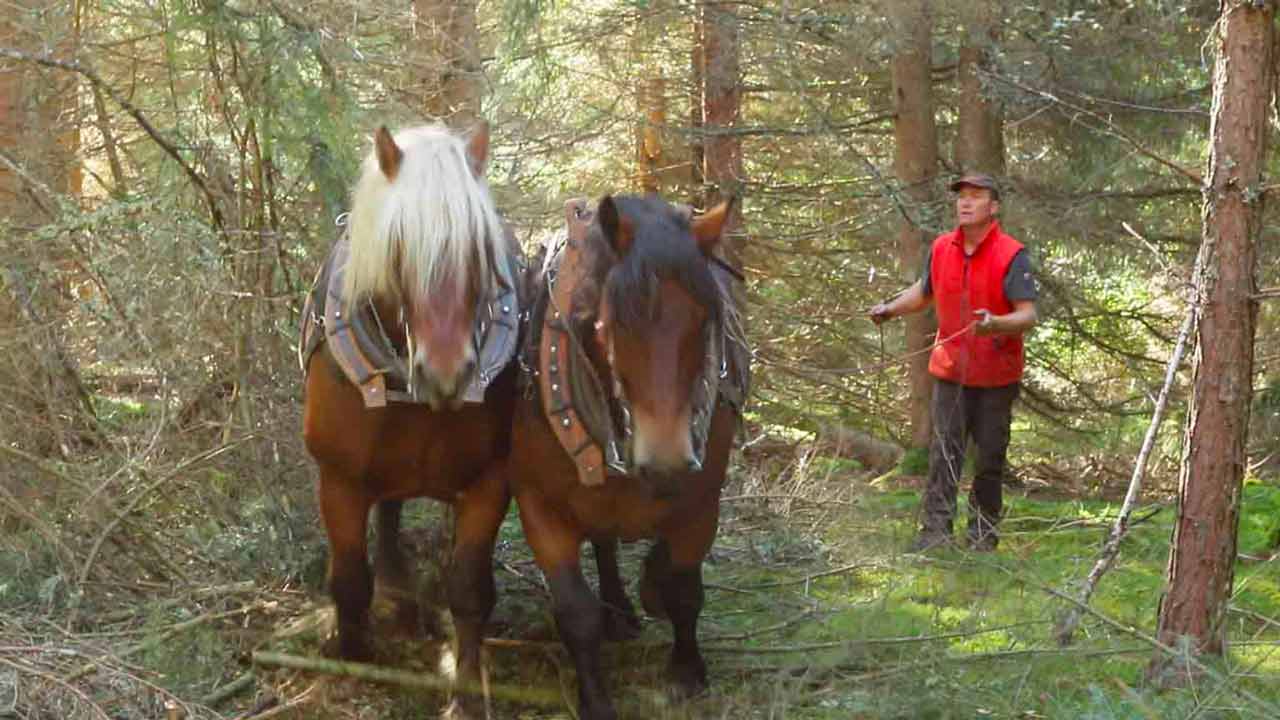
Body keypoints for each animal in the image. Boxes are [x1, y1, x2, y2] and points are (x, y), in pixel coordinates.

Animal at [298, 120, 514, 712]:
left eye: (480, 247)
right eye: (398, 249)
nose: (448, 374)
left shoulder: (490, 482)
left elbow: (469, 587)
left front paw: (465, 690)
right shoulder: (338, 479)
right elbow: (350, 578)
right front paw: (353, 657)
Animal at [509, 193, 747, 712]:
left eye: (705, 320)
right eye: (608, 324)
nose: (666, 461)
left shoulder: (701, 501)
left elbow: (683, 589)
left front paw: (686, 671)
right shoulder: (539, 505)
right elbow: (575, 611)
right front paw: (595, 699)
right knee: (602, 541)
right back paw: (617, 608)